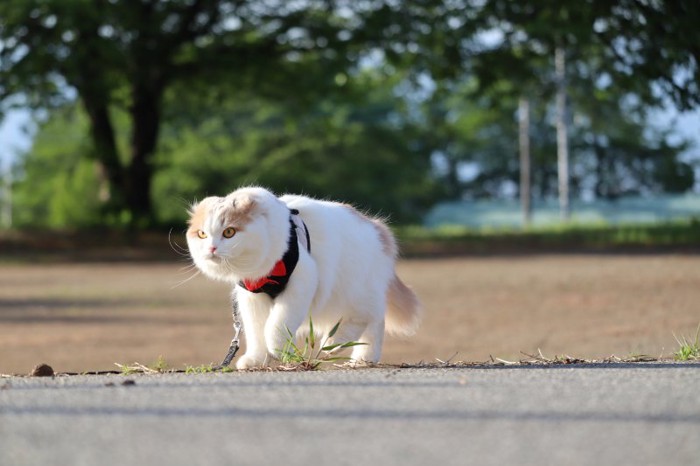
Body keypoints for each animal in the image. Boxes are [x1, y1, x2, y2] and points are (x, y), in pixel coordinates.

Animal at [186, 186, 422, 368]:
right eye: (202, 234)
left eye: (229, 232)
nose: (212, 248)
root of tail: (378, 228)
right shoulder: (252, 297)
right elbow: (256, 334)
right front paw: (256, 360)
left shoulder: (301, 283)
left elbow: (275, 327)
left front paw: (280, 351)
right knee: (372, 326)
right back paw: (360, 358)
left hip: (356, 292)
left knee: (366, 319)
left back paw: (336, 345)